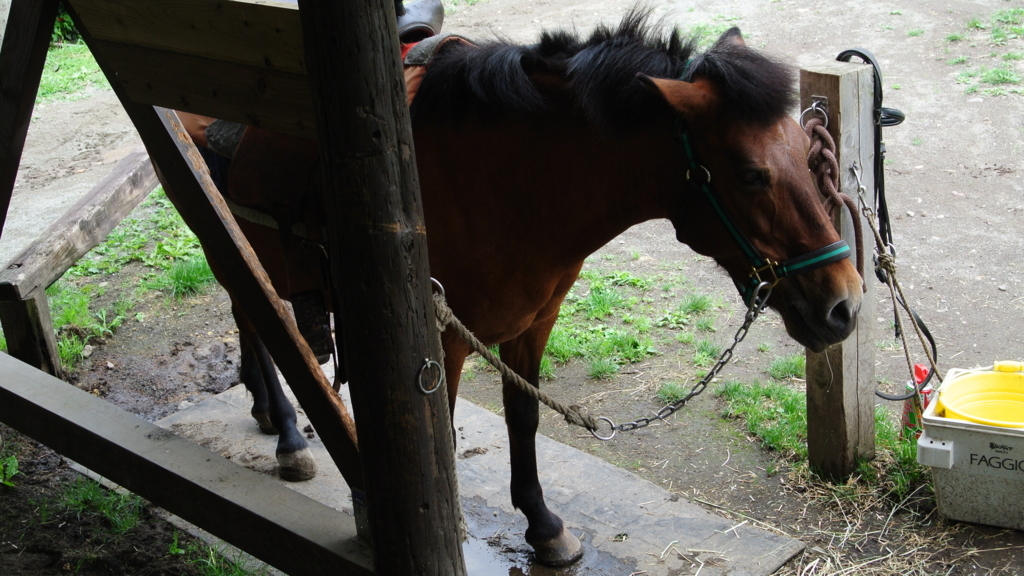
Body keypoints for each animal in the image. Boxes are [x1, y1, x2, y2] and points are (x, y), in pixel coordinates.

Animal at [196, 11, 862, 566]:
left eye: (807, 151)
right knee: (251, 313)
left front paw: (543, 528)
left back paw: (265, 411)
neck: (504, 182)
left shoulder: (534, 321)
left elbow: (524, 417)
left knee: (247, 314)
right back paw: (286, 431)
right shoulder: (443, 341)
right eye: (750, 175)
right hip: (217, 228)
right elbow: (442, 440)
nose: (845, 304)